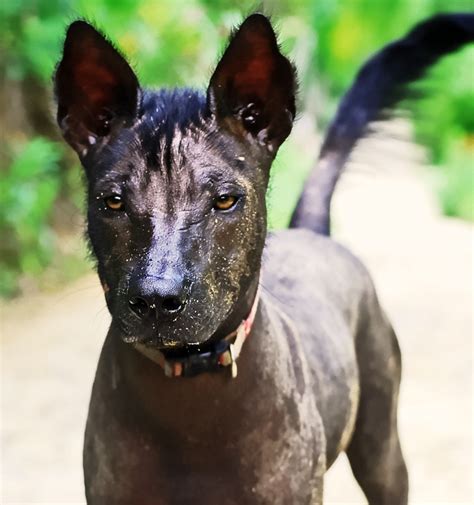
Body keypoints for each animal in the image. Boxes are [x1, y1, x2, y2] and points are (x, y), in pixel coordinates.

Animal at [53, 11, 472, 504]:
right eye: (113, 202)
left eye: (225, 200)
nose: (156, 299)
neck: (189, 393)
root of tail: (312, 233)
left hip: (382, 451)